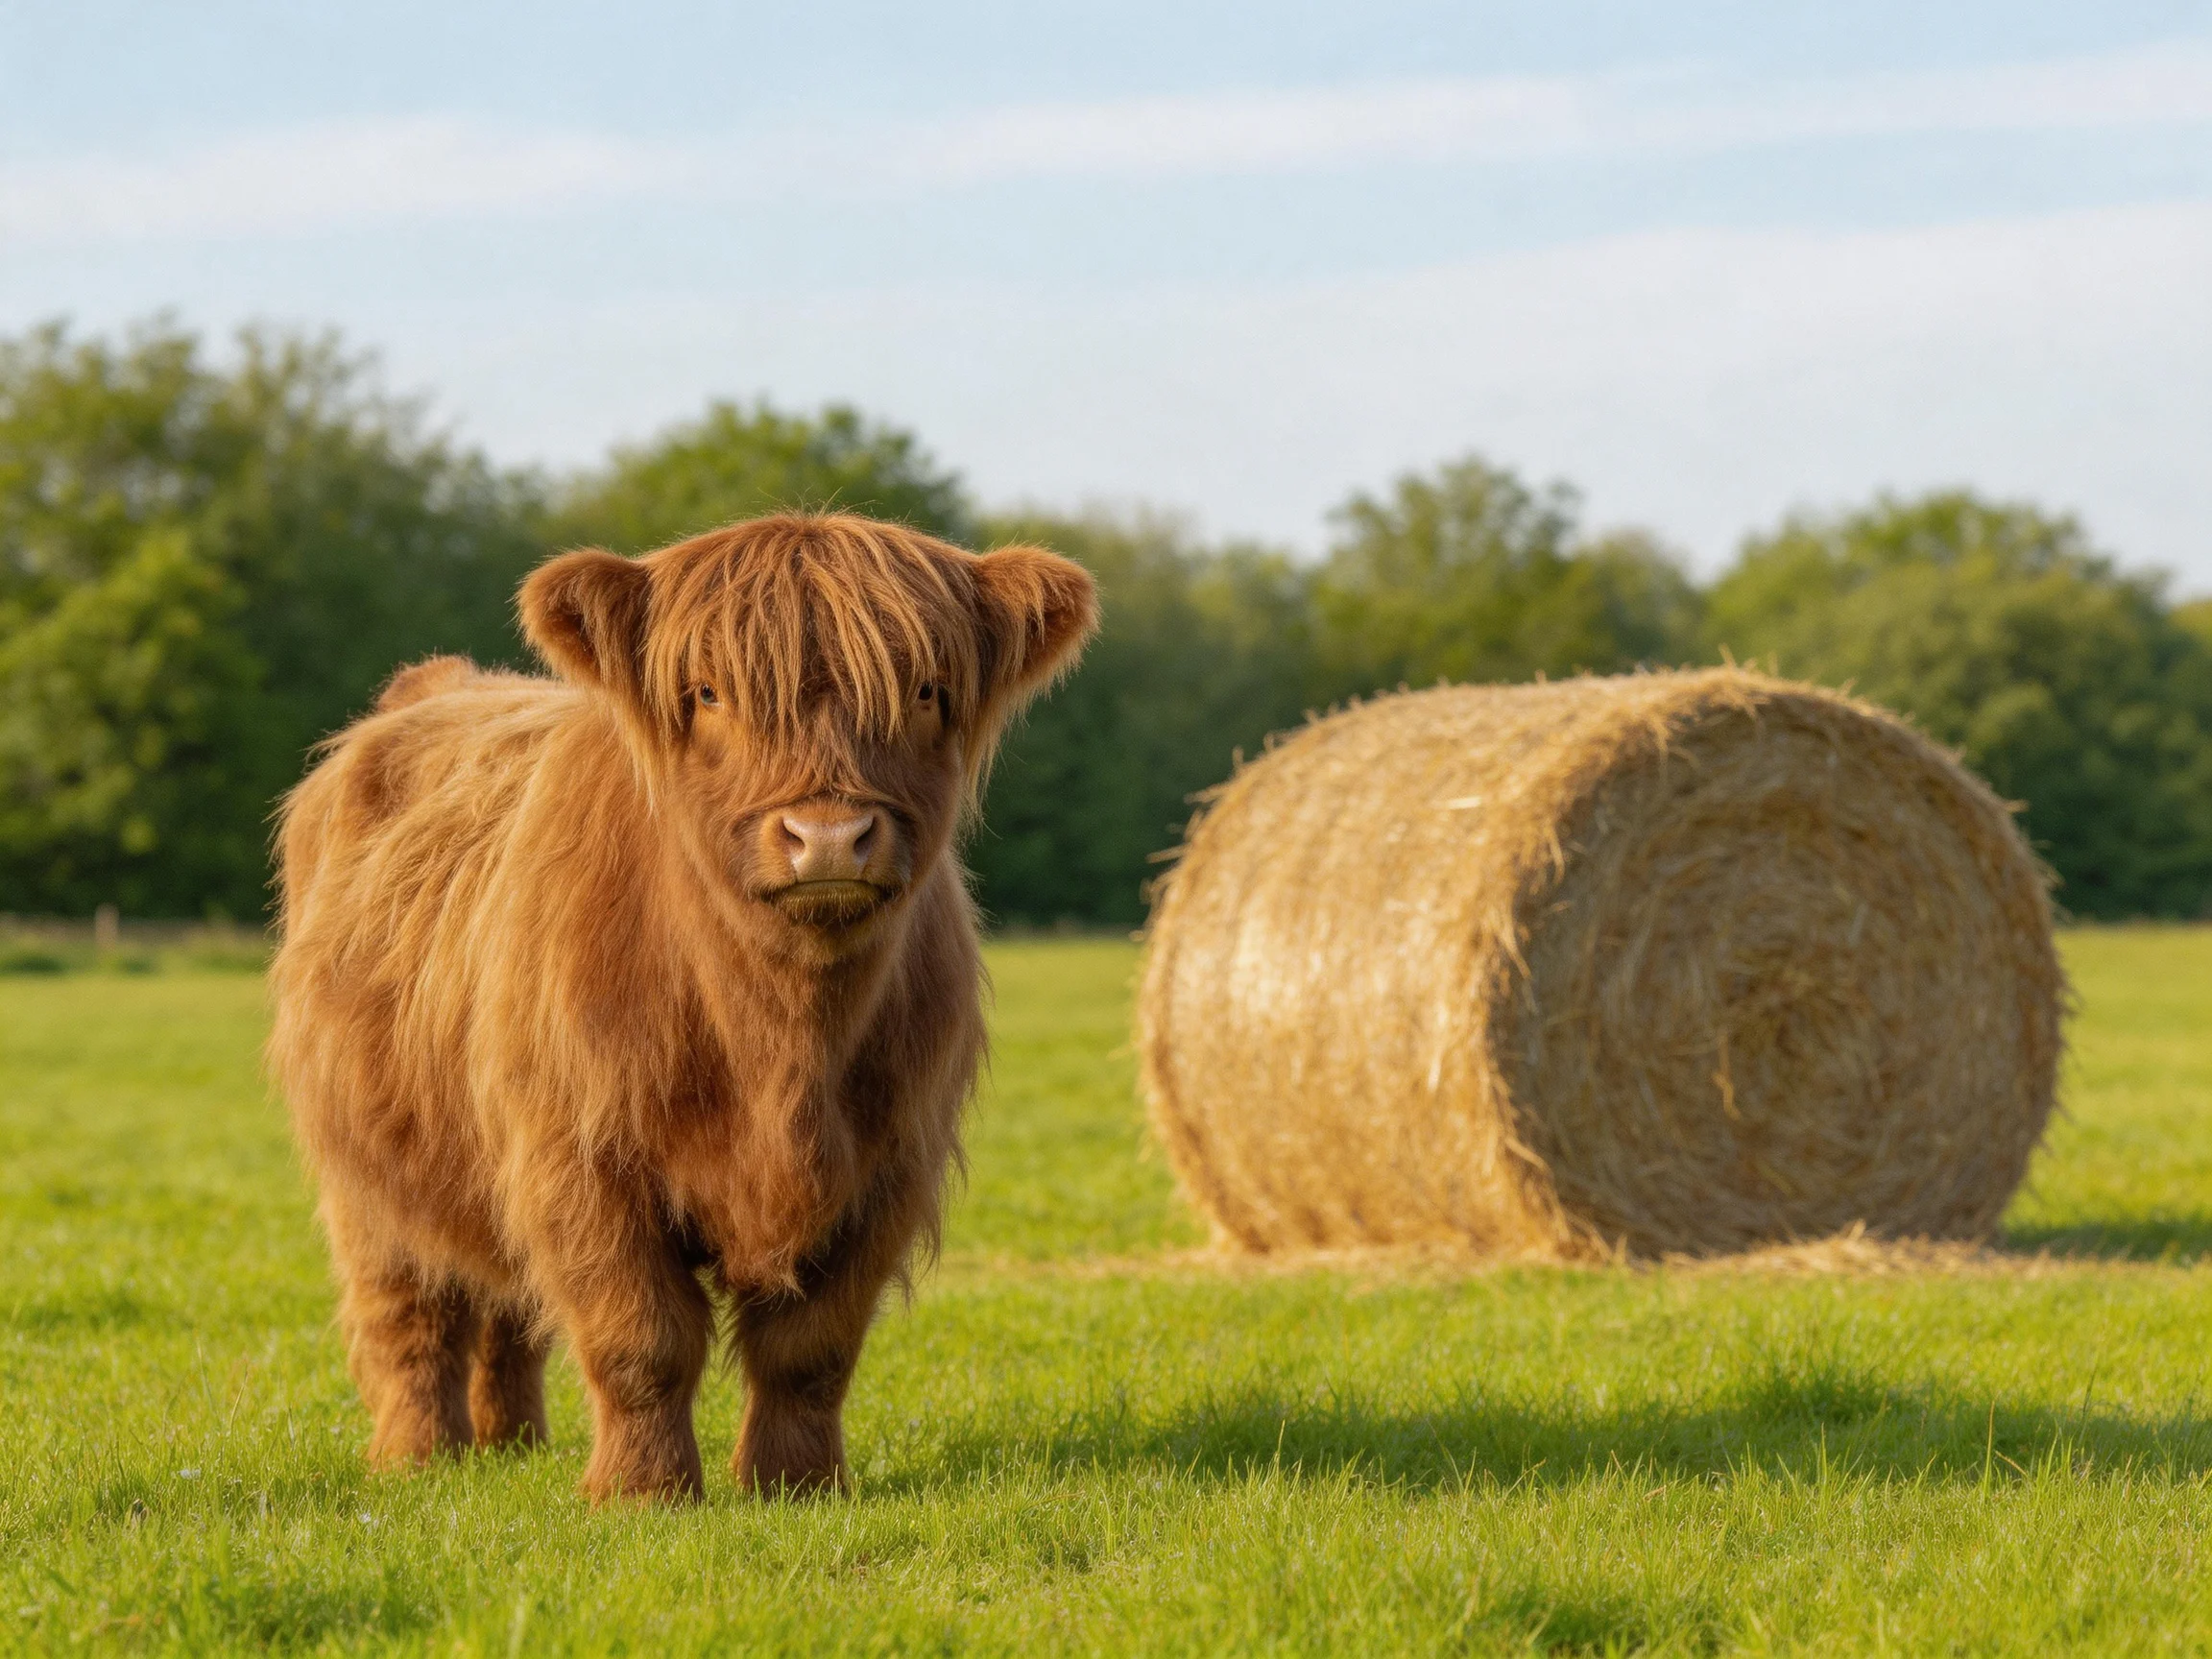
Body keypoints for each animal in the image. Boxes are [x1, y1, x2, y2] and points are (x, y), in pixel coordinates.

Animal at [267, 512, 1098, 1503]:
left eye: (927, 690)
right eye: (708, 692)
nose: (828, 838)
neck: (780, 1047)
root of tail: (435, 686)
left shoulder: (886, 1165)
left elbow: (810, 1348)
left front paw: (796, 1485)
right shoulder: (578, 1159)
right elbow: (641, 1338)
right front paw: (642, 1492)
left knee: (509, 1306)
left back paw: (513, 1445)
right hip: (366, 1167)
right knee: (409, 1311)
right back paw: (418, 1456)